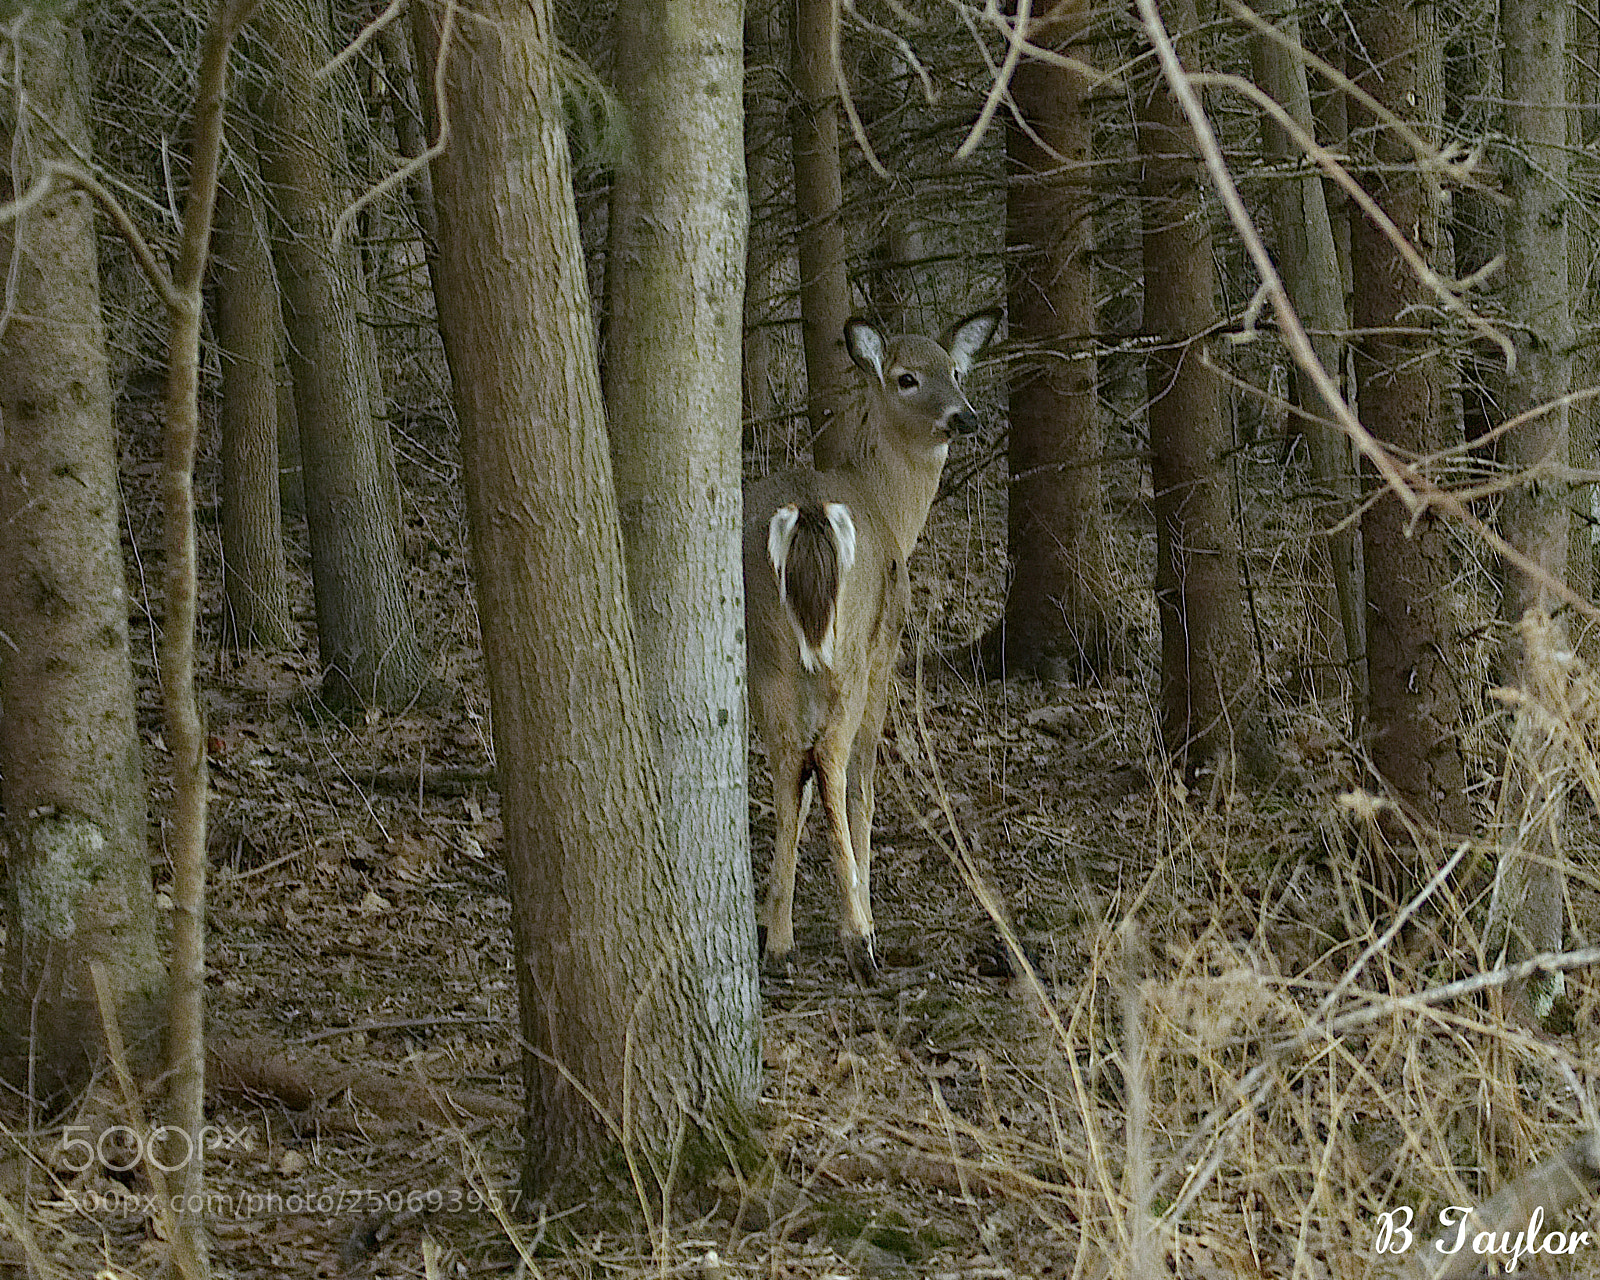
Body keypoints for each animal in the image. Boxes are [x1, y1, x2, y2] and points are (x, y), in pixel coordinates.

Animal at [744, 309, 1000, 984]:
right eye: (907, 377)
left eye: (956, 370)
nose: (965, 415)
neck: (890, 507)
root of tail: (808, 511)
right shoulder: (888, 643)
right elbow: (862, 780)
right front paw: (861, 909)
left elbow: (800, 788)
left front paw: (773, 917)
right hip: (852, 652)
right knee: (835, 761)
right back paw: (858, 938)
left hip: (768, 654)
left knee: (790, 762)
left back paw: (779, 943)